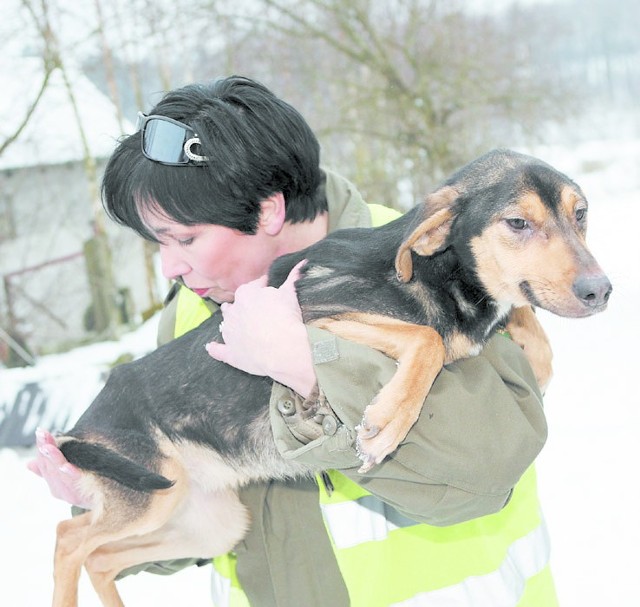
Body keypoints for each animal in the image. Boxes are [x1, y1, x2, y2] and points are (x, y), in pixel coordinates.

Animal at [48, 150, 608, 604]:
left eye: (581, 215)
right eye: (517, 222)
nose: (600, 291)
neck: (438, 273)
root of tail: (79, 424)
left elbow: (523, 322)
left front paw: (535, 358)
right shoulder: (313, 315)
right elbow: (425, 339)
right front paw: (388, 422)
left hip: (205, 520)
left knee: (100, 559)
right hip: (149, 496)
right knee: (67, 540)